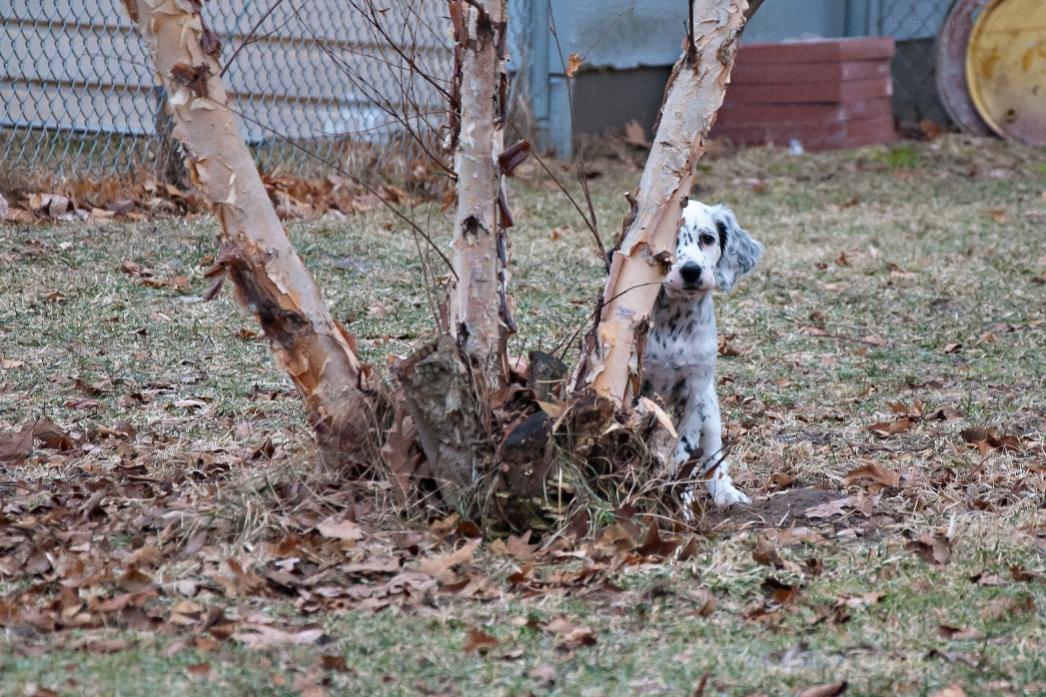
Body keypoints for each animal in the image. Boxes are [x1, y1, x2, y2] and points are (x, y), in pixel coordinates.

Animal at [635, 199, 761, 504]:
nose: (691, 271)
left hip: (711, 409)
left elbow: (684, 453)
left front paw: (678, 499)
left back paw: (726, 493)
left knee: (713, 456)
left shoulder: (695, 389)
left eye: (707, 239)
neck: (675, 320)